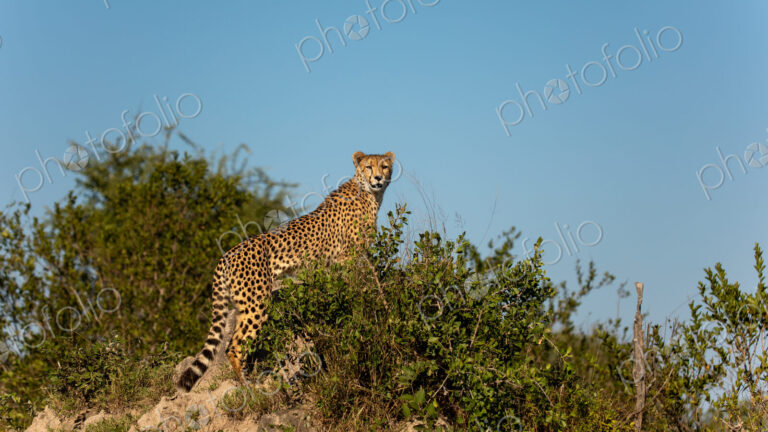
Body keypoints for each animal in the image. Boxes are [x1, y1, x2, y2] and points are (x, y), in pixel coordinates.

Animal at [177, 151, 396, 391]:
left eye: (384, 166)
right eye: (368, 167)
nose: (378, 178)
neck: (369, 193)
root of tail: (227, 253)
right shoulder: (348, 257)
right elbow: (356, 287)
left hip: (242, 304)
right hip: (257, 303)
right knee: (234, 346)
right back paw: (248, 387)